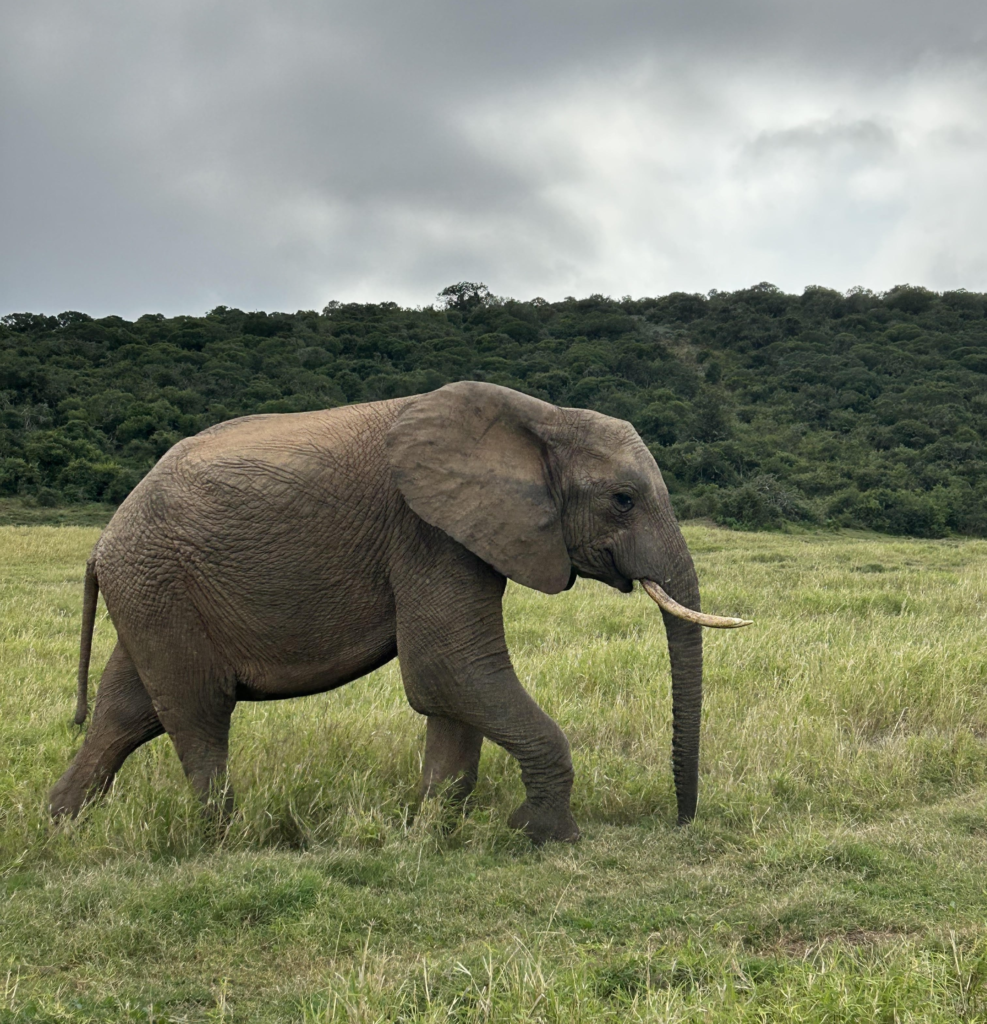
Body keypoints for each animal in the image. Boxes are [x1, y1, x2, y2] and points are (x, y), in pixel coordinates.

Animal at [49, 381, 750, 843]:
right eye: (623, 500)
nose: (680, 823)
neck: (541, 417)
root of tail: (102, 542)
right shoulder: (427, 531)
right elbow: (449, 671)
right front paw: (543, 835)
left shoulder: (461, 532)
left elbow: (455, 688)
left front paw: (435, 829)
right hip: (160, 581)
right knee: (197, 711)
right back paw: (220, 841)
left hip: (151, 591)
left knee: (128, 711)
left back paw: (62, 829)